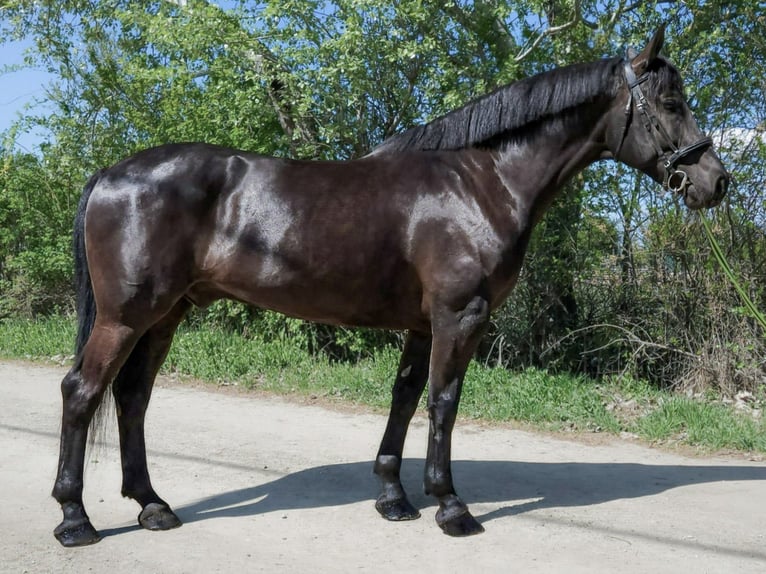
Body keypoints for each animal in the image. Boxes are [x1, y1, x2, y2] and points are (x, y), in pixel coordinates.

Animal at [52, 27, 728, 546]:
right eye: (671, 103)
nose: (715, 182)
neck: (479, 182)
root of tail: (111, 173)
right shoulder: (462, 316)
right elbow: (444, 402)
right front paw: (450, 507)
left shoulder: (423, 323)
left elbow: (404, 399)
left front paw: (394, 497)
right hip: (125, 316)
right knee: (83, 392)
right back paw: (75, 518)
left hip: (165, 314)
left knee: (132, 397)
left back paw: (152, 505)